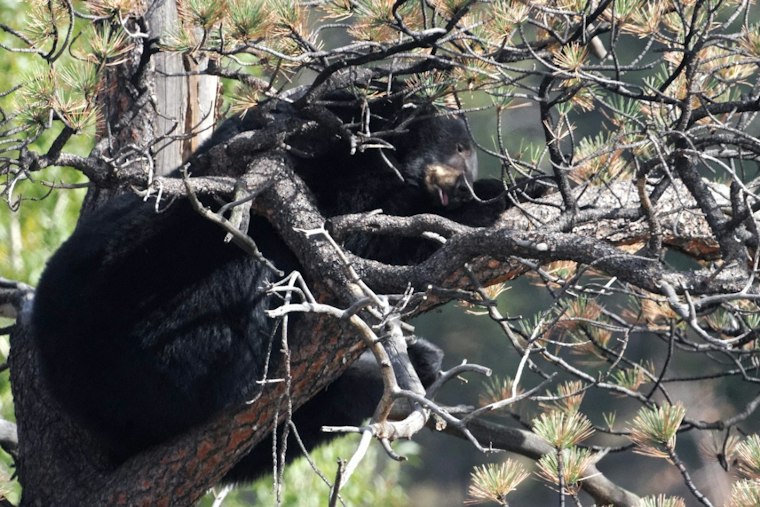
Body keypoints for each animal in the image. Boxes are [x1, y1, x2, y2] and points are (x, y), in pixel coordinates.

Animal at [29, 92, 519, 484]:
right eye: (461, 147)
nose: (465, 188)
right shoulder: (319, 167)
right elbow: (369, 232)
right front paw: (503, 193)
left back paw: (414, 363)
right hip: (148, 321)